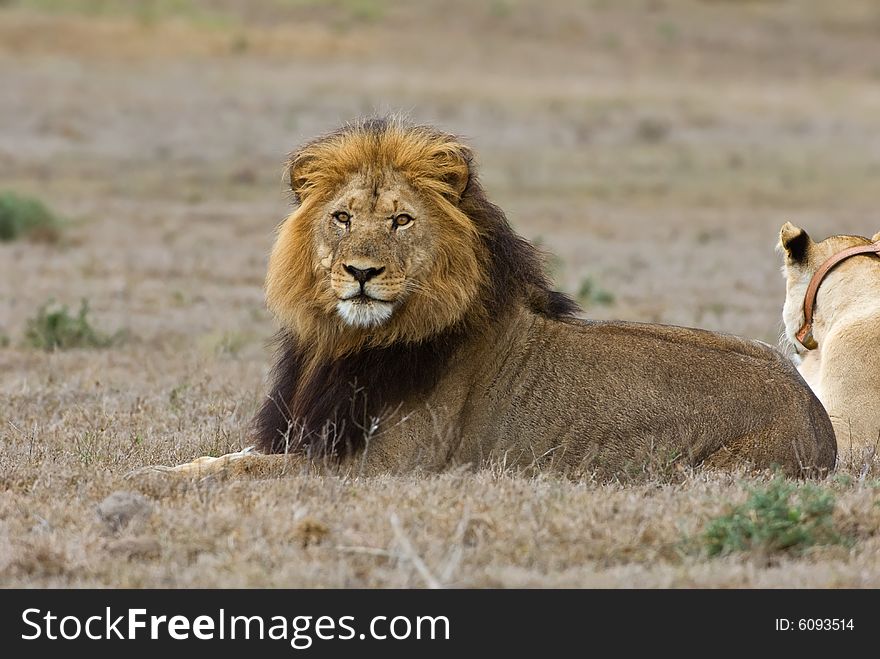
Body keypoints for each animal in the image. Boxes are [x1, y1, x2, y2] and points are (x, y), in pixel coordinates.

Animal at [136, 118, 832, 482]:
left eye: (401, 221)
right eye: (342, 218)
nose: (361, 272)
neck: (349, 342)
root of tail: (818, 419)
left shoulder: (384, 466)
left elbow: (245, 472)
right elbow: (223, 458)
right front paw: (152, 475)